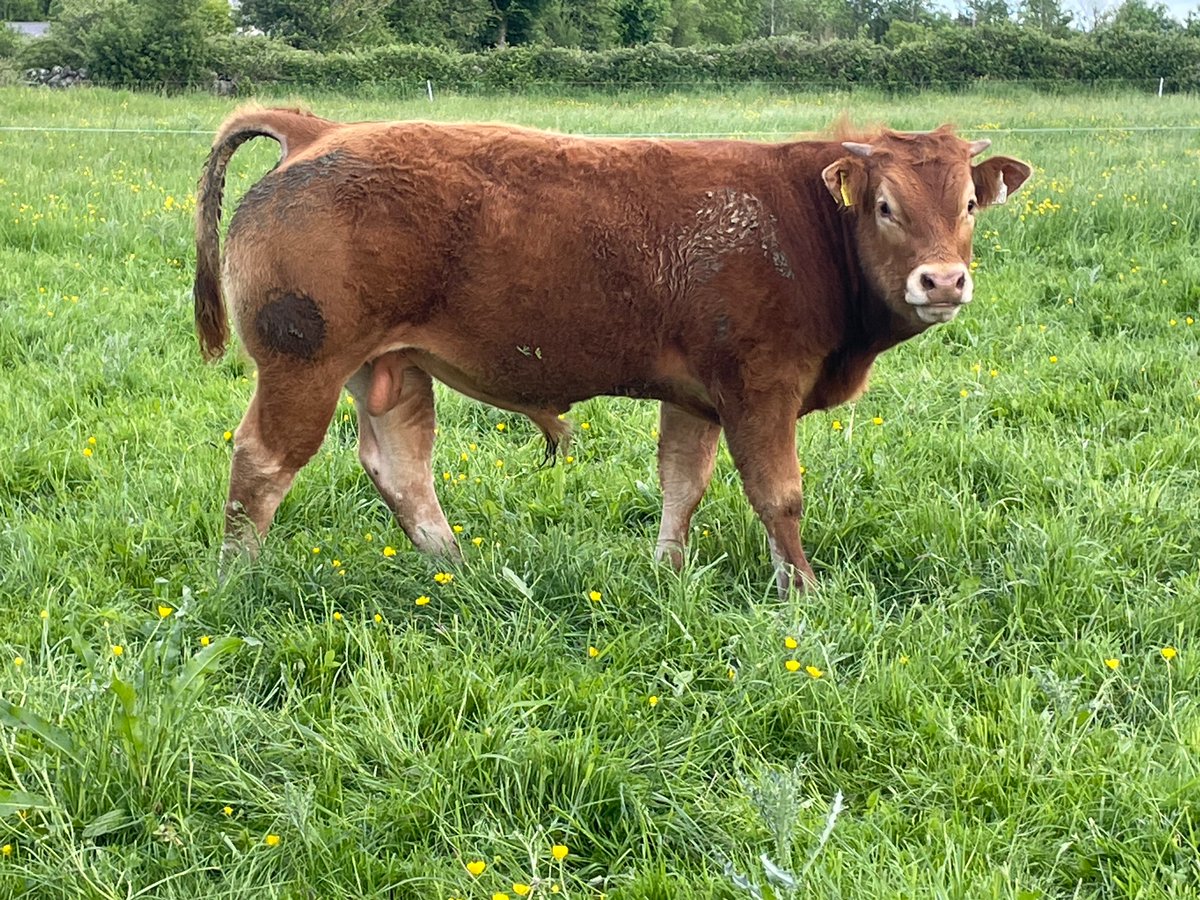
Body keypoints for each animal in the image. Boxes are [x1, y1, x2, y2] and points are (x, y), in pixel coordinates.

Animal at [194, 105, 1030, 597]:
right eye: (885, 207)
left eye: (967, 204)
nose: (943, 280)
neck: (803, 217)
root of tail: (320, 132)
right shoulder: (760, 392)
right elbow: (779, 496)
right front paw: (802, 592)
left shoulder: (697, 398)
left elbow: (682, 485)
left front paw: (669, 574)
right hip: (303, 368)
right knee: (261, 464)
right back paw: (236, 582)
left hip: (390, 371)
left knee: (401, 469)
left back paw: (458, 568)